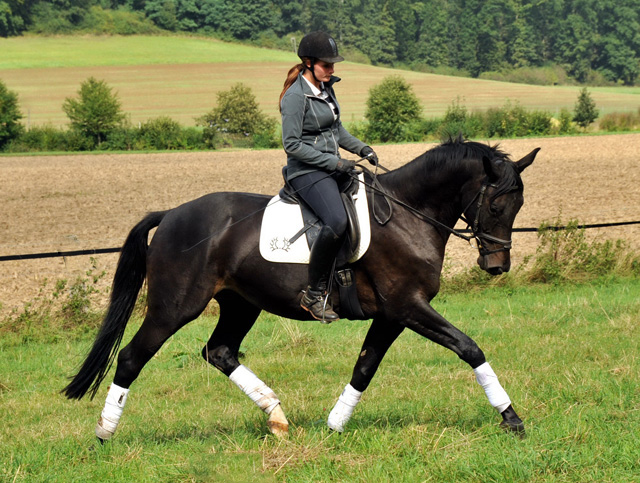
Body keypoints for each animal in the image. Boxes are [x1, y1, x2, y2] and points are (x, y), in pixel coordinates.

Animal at [62, 138, 536, 440]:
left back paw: (277, 418)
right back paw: (105, 433)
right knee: (131, 357)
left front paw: (335, 425)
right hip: (174, 307)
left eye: (518, 206)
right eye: (496, 205)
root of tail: (172, 214)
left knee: (220, 352)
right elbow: (469, 348)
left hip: (240, 304)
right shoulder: (409, 307)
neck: (407, 215)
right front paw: (511, 419)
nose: (497, 266)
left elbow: (364, 368)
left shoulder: (392, 315)